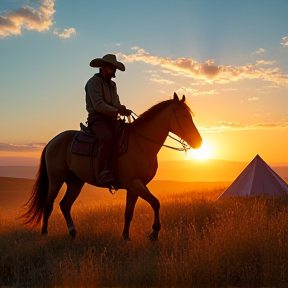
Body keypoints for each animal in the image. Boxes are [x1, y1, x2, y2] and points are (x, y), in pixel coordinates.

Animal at [22, 93, 201, 241]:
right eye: (183, 115)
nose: (198, 141)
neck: (140, 144)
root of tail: (52, 141)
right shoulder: (135, 183)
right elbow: (155, 202)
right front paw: (154, 232)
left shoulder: (134, 186)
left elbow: (129, 212)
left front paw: (126, 237)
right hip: (56, 179)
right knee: (48, 204)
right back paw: (44, 233)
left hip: (75, 182)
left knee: (65, 205)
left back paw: (72, 232)